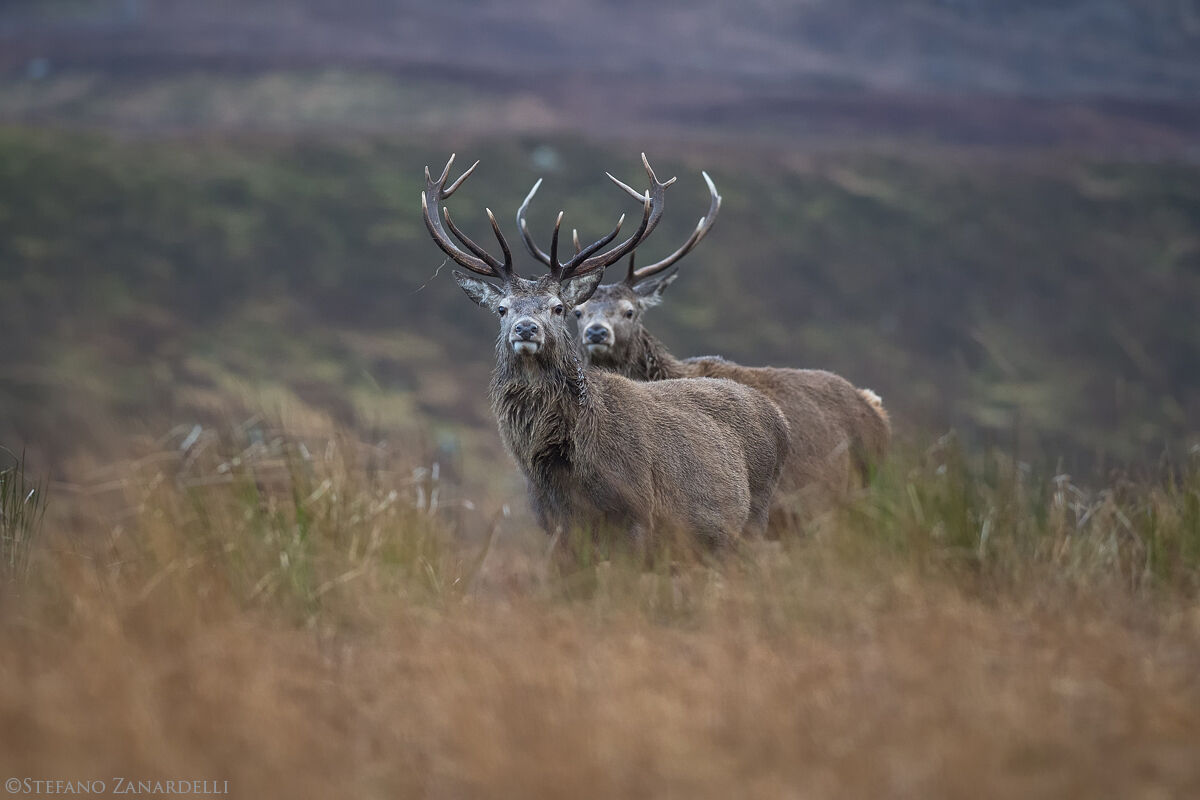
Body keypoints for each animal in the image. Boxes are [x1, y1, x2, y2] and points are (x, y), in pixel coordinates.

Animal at [421, 154, 790, 555]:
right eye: (502, 309)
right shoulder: (554, 527)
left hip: (754, 518)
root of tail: (779, 419)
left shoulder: (638, 512)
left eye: (559, 308)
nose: (525, 328)